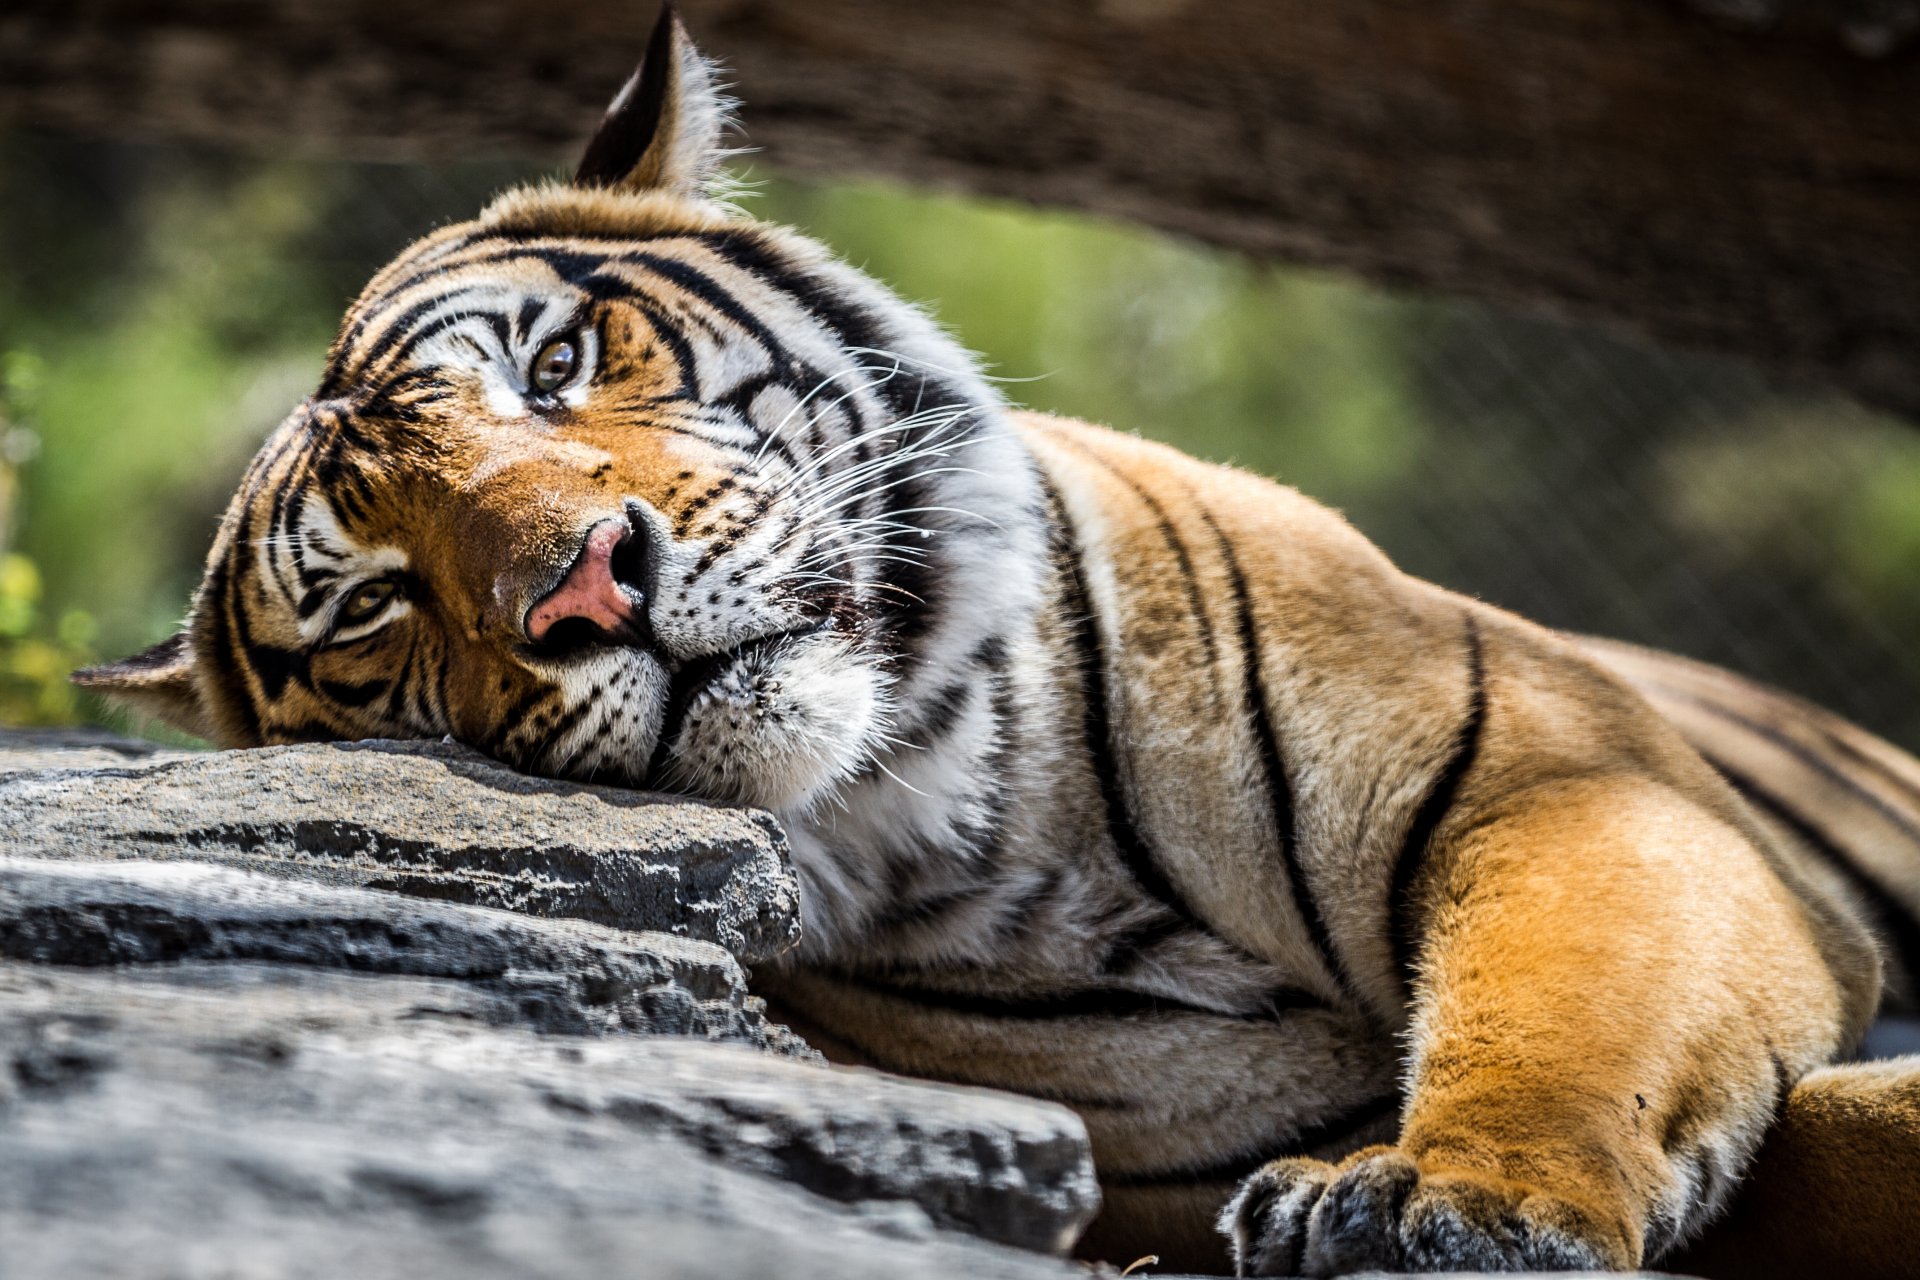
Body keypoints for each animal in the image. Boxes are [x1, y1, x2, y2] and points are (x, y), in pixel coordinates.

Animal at [75, 8, 1920, 1277]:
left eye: (553, 367)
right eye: (378, 600)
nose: (590, 587)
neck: (973, 794)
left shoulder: (1564, 784)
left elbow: (1570, 1011)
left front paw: (1446, 1198)